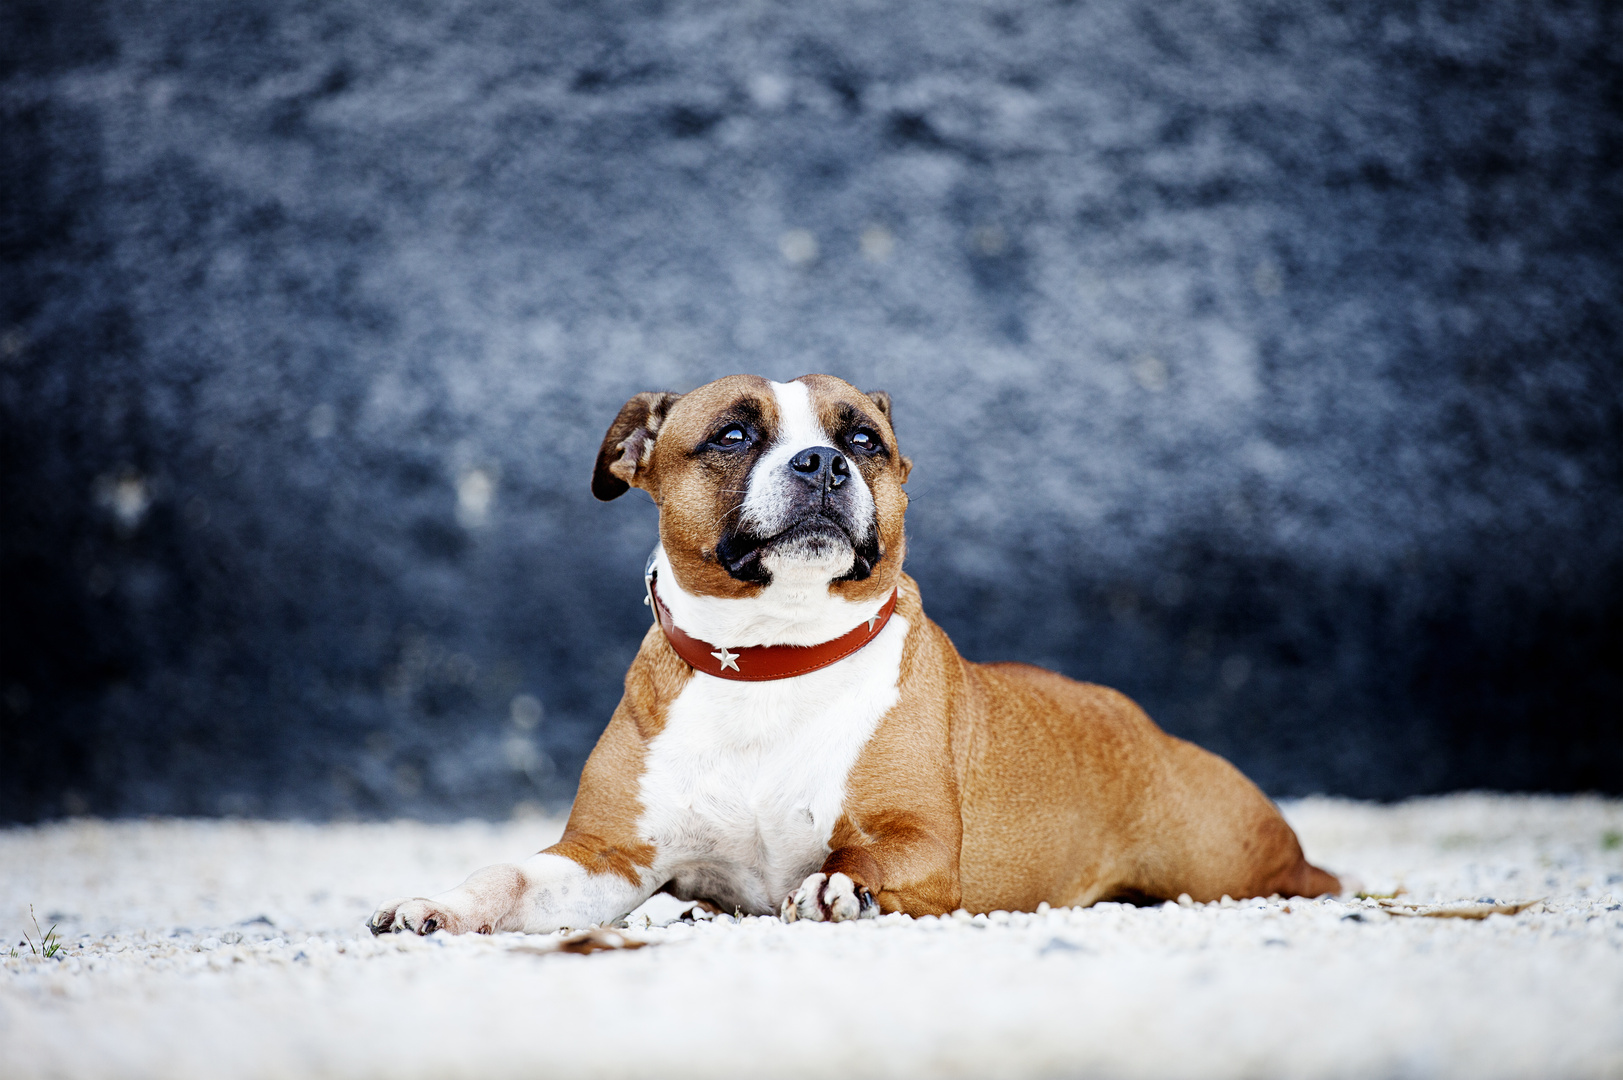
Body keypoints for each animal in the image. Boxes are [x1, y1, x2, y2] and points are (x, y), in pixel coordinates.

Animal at [371, 375, 1343, 928]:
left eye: (862, 440)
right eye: (731, 434)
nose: (821, 464)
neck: (770, 658)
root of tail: (1136, 720)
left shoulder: (923, 841)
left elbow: (864, 857)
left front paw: (842, 888)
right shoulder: (603, 857)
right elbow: (508, 877)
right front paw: (439, 904)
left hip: (1223, 858)